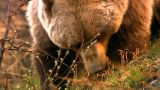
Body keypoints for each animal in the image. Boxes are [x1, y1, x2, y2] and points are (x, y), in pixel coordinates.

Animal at [26, 0, 158, 89]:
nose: (96, 68)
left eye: (99, 35)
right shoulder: (42, 25)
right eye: (76, 44)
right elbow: (52, 58)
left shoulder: (133, 8)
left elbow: (129, 36)